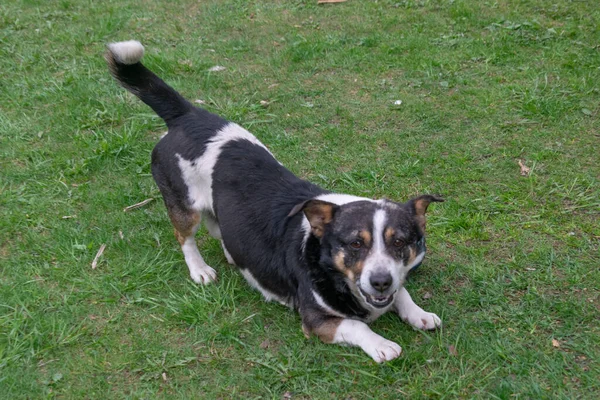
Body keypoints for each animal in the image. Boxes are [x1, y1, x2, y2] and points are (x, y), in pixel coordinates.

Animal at [106, 39, 446, 362]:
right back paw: (199, 269)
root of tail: (187, 115)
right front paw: (382, 345)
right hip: (184, 205)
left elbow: (403, 293)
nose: (380, 282)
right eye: (355, 244)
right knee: (185, 237)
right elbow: (357, 326)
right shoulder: (316, 319)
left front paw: (419, 314)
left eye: (399, 242)